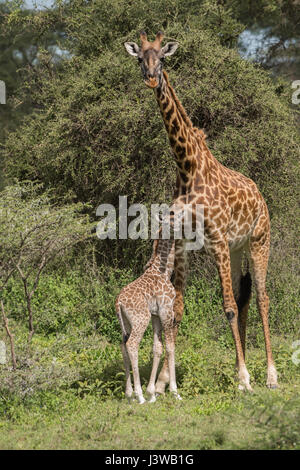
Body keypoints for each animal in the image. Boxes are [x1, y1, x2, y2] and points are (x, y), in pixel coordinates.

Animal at [115, 211, 183, 402]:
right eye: (171, 221)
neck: (164, 271)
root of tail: (118, 302)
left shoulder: (155, 315)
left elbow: (157, 348)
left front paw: (152, 393)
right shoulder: (166, 311)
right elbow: (170, 347)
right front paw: (174, 392)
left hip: (127, 324)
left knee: (123, 346)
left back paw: (129, 394)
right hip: (140, 320)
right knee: (132, 345)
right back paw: (139, 396)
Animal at [123, 31, 278, 392]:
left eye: (161, 58)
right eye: (140, 58)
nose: (151, 79)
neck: (188, 167)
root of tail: (260, 194)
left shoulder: (217, 240)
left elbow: (227, 307)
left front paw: (244, 379)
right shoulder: (183, 244)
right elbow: (179, 308)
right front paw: (163, 381)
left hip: (258, 242)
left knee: (261, 298)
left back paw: (269, 375)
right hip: (236, 250)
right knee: (245, 296)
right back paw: (243, 367)